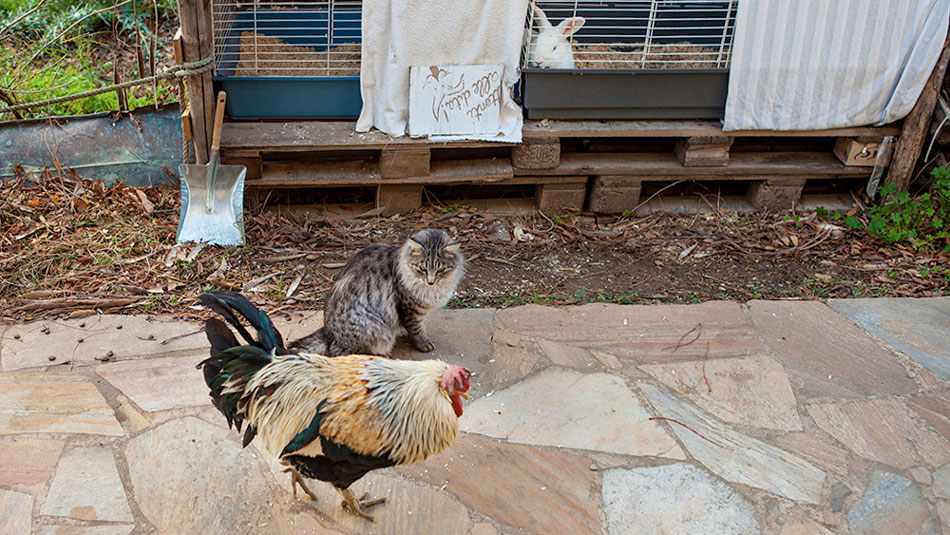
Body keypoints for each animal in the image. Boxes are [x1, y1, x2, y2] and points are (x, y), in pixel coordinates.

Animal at [292, 229, 466, 358]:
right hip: (373, 328)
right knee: (338, 352)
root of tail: (328, 332)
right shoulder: (409, 309)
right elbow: (417, 329)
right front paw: (423, 343)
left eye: (440, 270)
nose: (430, 281)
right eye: (422, 268)